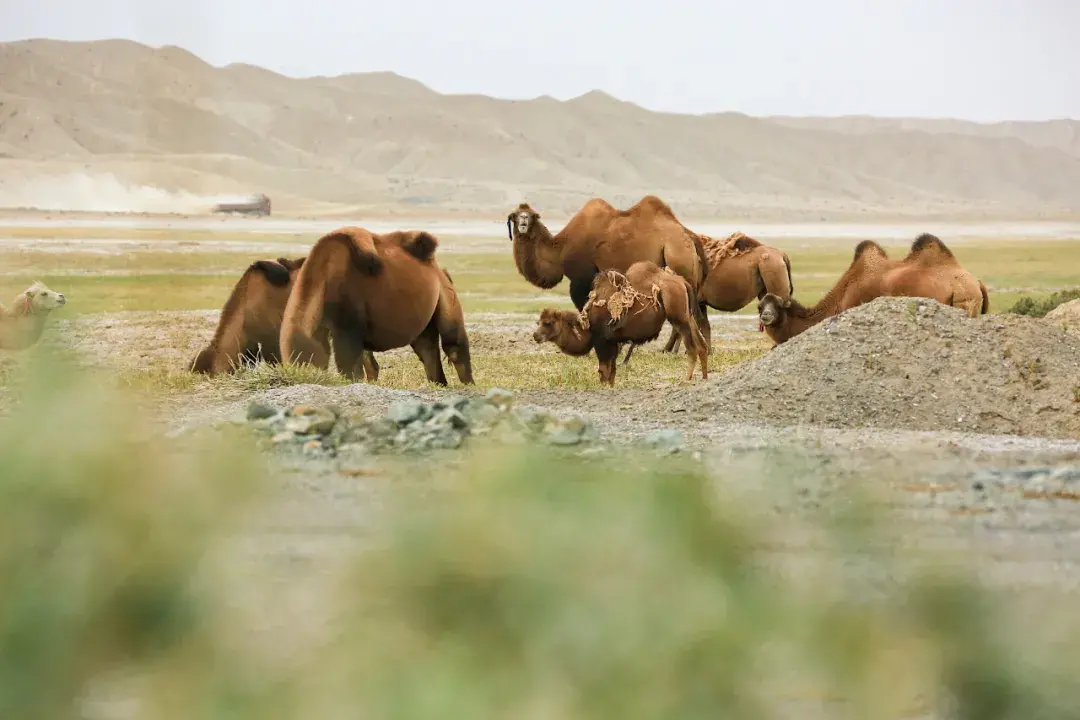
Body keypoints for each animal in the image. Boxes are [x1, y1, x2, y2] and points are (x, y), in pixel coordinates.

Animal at [282, 226, 473, 386]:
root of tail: (437, 268)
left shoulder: (348, 325)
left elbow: (351, 368)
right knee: (426, 349)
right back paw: (438, 383)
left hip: (445, 293)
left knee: (453, 344)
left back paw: (468, 384)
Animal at [531, 263, 708, 388]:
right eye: (538, 322)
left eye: (548, 323)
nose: (536, 335)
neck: (588, 325)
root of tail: (682, 282)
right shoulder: (613, 341)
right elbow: (612, 372)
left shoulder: (601, 340)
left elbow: (603, 370)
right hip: (687, 315)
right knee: (701, 344)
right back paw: (705, 377)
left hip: (679, 317)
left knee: (692, 348)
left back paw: (686, 380)